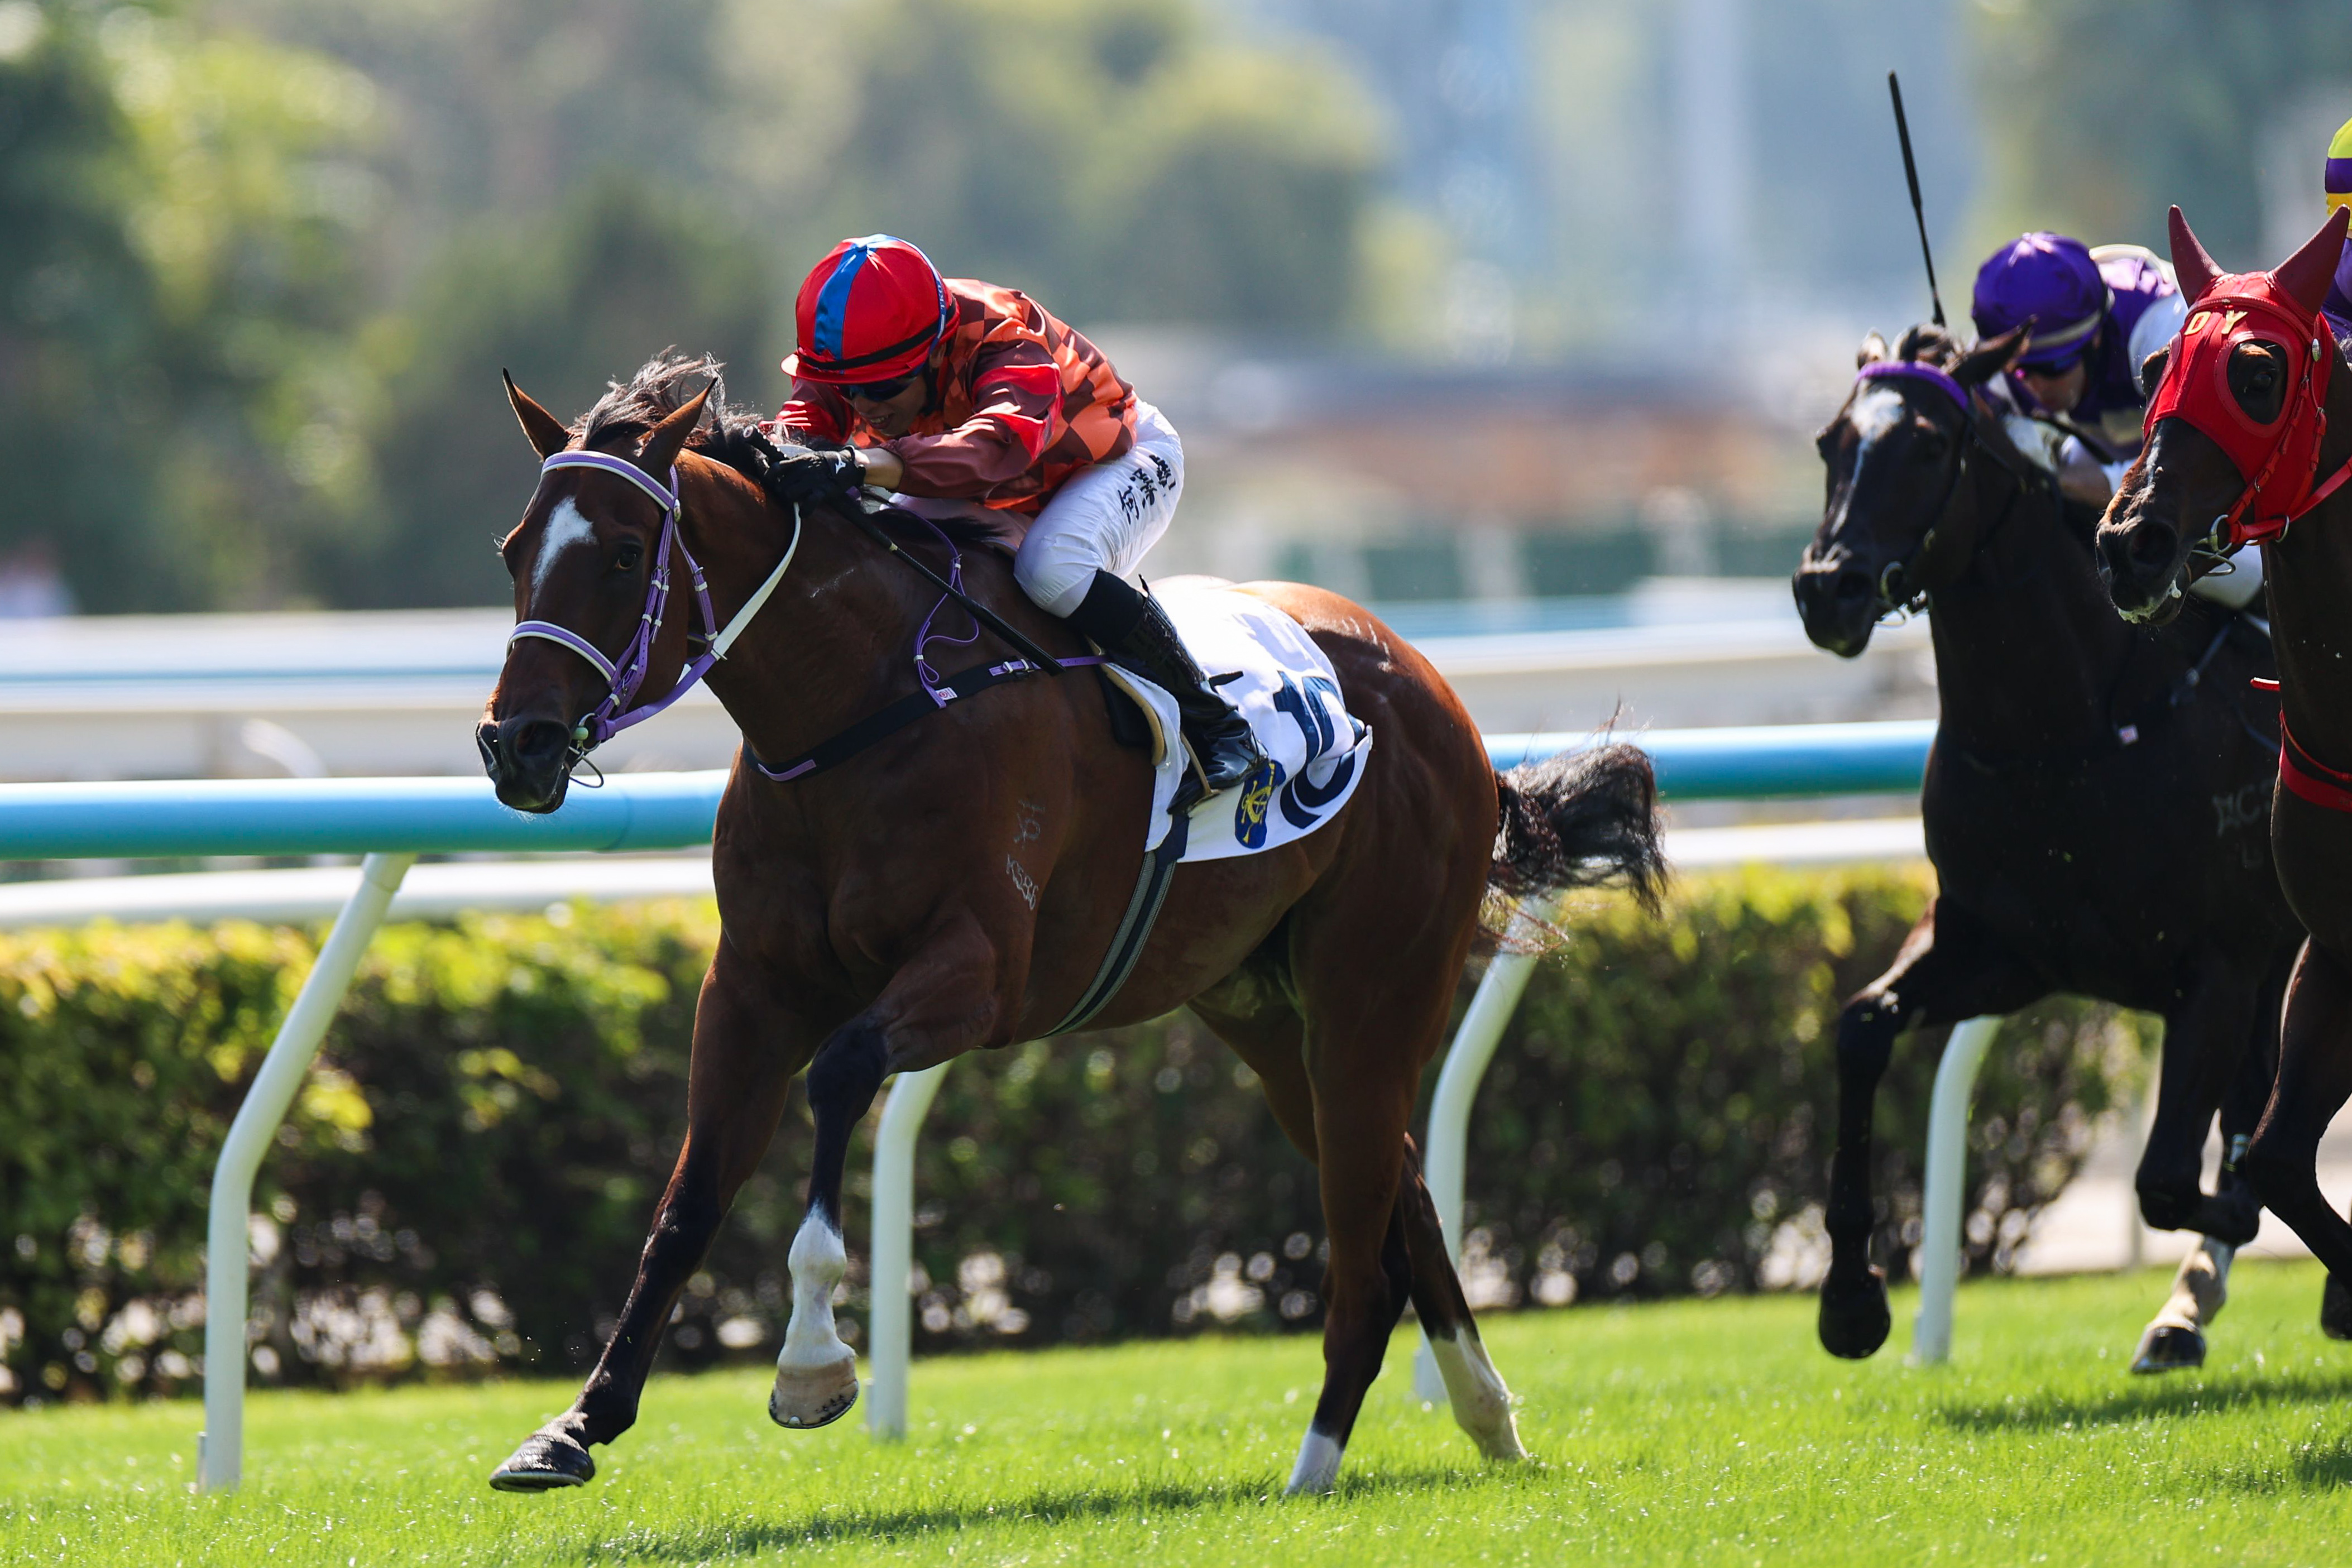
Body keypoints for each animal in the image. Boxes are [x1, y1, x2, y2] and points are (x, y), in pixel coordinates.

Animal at [471, 355, 1667, 1495]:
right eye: (515, 547)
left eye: (624, 552)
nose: (516, 743)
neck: (862, 705)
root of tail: (1436, 691)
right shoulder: (751, 987)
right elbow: (687, 1202)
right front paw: (570, 1427)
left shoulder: (979, 974)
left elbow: (843, 1073)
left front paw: (811, 1362)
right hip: (1263, 1010)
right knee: (1400, 1196)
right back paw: (1488, 1421)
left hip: (1375, 985)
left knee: (1365, 1250)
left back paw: (1314, 1470)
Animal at [1794, 323, 2298, 1371]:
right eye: (1828, 442)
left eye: (1928, 446)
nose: (1828, 590)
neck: (2065, 727)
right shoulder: (2006, 948)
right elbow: (1861, 1026)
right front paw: (1851, 1297)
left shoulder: (2220, 966)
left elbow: (2171, 1175)